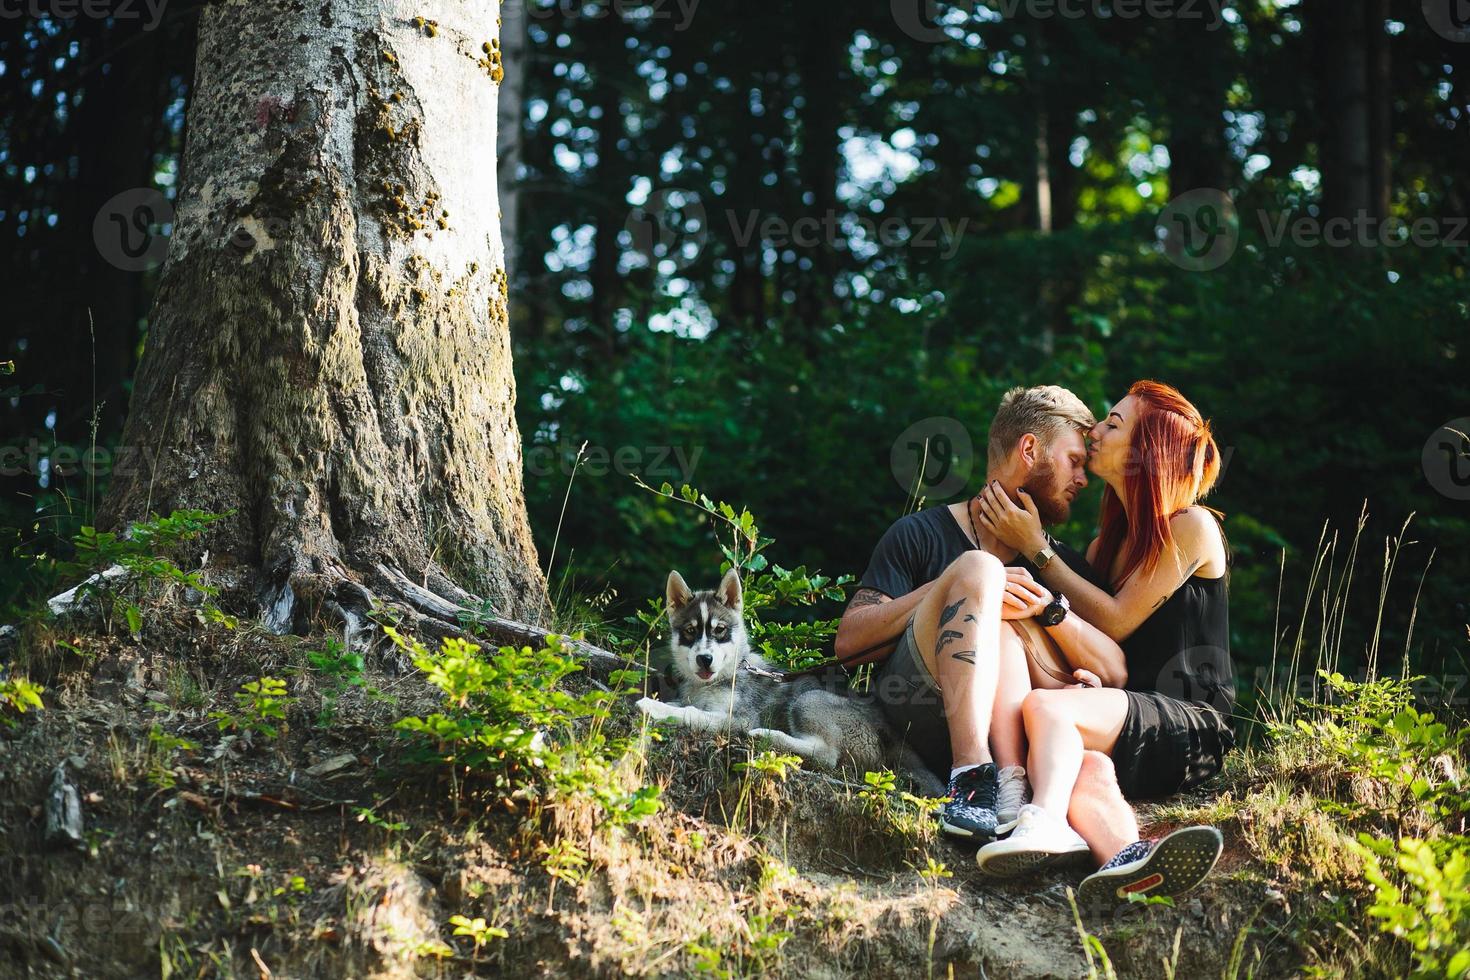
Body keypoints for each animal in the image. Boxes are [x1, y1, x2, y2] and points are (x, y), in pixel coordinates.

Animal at [635, 570, 940, 793]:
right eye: (690, 631)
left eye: (719, 630)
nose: (704, 659)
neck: (725, 675)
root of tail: (895, 736)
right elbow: (683, 704)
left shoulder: (739, 718)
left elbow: (691, 713)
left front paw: (653, 707)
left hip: (810, 699)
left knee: (825, 754)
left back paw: (768, 736)